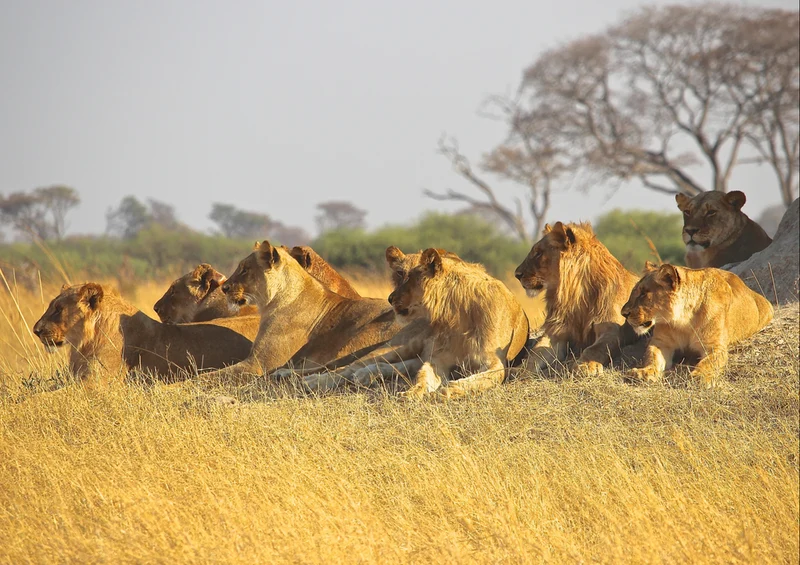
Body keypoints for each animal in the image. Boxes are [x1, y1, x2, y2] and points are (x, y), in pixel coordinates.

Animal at [202, 241, 402, 383]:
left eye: (244, 269)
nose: (224, 288)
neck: (272, 302)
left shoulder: (258, 363)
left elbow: (211, 375)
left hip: (359, 338)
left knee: (343, 367)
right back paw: (283, 374)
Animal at [386, 248, 529, 400]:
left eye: (411, 278)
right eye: (400, 273)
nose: (390, 298)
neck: (458, 315)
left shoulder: (495, 363)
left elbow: (472, 381)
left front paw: (443, 392)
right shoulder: (439, 358)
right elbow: (423, 377)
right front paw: (410, 393)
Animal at [514, 221, 641, 375]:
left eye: (538, 253)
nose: (517, 274)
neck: (576, 296)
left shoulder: (613, 330)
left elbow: (594, 349)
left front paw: (585, 366)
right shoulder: (556, 333)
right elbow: (535, 353)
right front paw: (519, 370)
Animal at [622, 262, 774, 387]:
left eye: (643, 293)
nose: (623, 313)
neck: (683, 320)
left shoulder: (715, 347)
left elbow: (708, 363)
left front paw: (700, 376)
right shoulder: (661, 342)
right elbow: (651, 357)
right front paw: (644, 372)